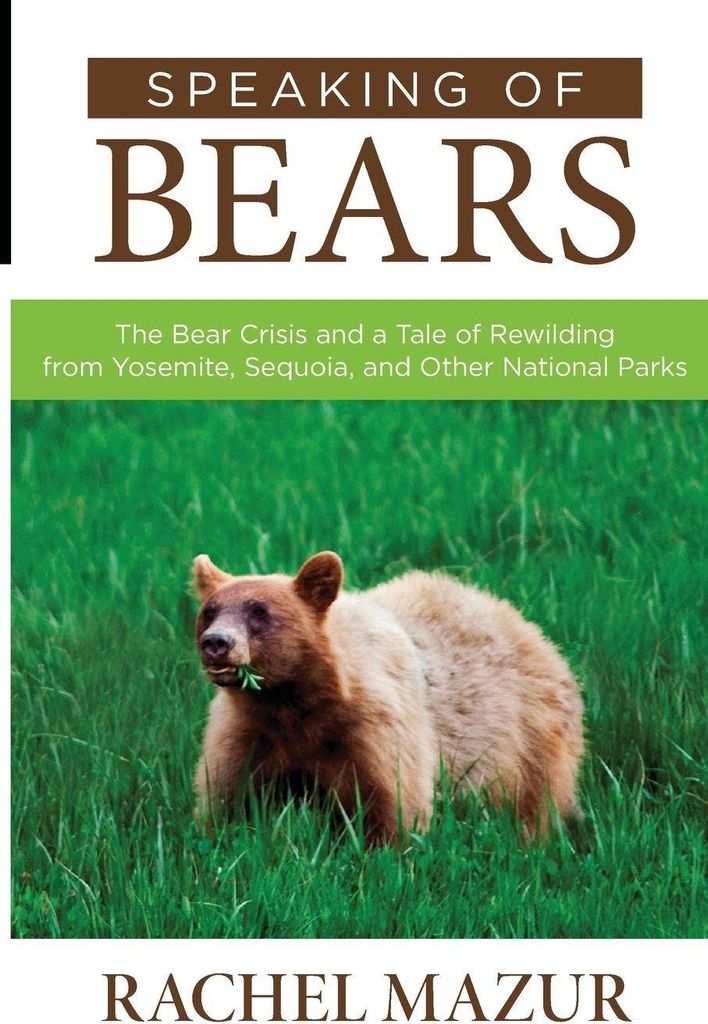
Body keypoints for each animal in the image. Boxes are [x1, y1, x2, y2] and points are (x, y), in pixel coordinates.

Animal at [192, 550, 584, 843]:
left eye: (259, 611)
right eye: (209, 610)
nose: (217, 642)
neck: (295, 706)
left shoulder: (374, 730)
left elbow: (393, 803)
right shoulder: (246, 733)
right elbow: (226, 798)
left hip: (531, 743)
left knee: (534, 806)